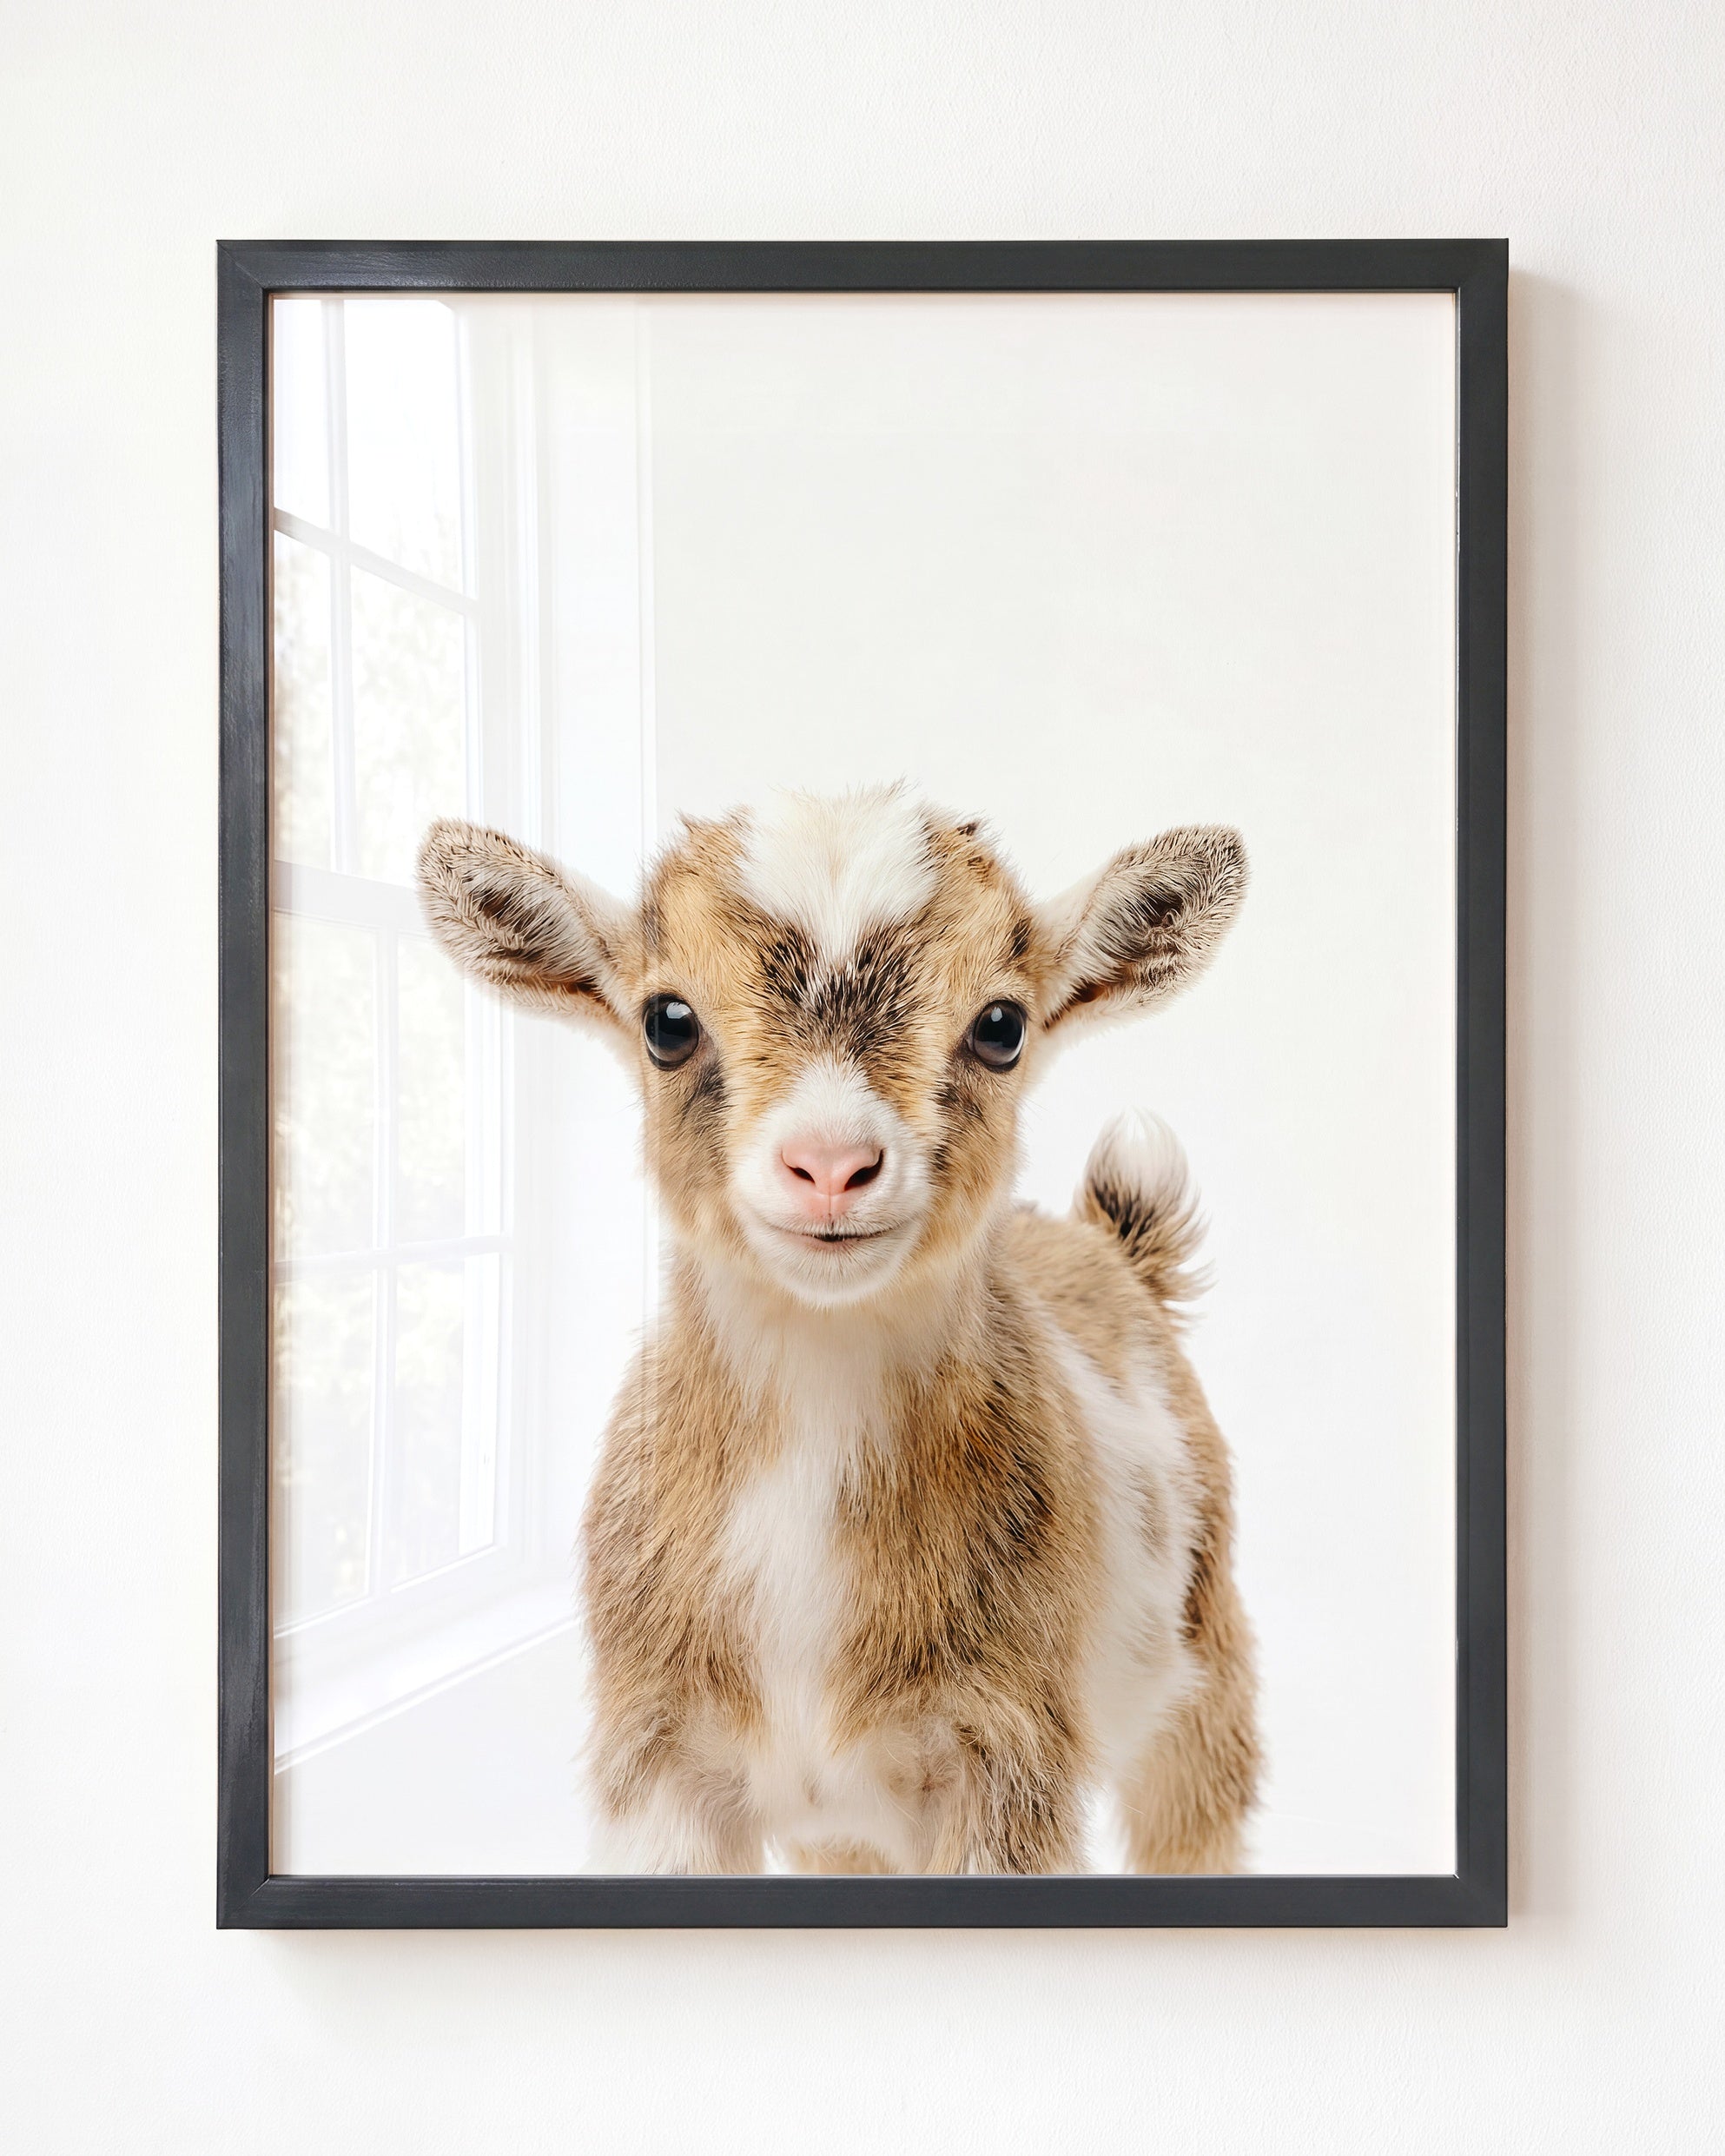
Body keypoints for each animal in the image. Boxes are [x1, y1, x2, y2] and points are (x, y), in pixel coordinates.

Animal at [418, 785, 1259, 1874]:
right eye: (667, 1021)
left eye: (1002, 1025)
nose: (829, 1164)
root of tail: (1113, 1249)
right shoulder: (659, 1761)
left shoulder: (1007, 1758)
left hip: (1206, 1674)